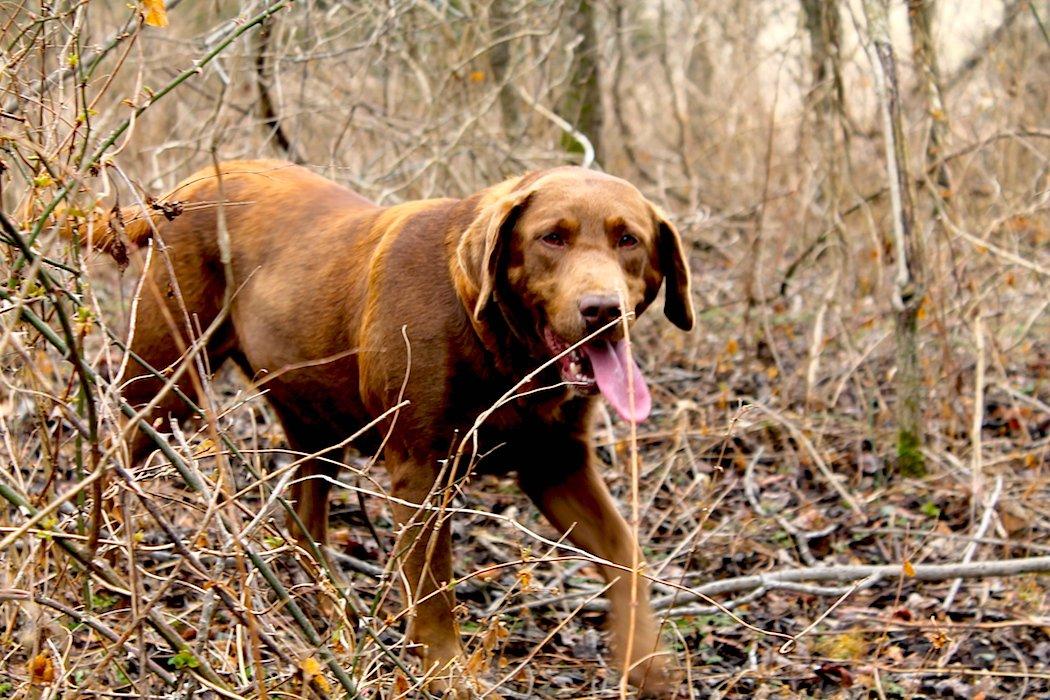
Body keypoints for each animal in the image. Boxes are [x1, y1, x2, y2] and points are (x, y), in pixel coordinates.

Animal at [77, 162, 692, 696]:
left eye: (629, 240)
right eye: (552, 238)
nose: (602, 310)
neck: (500, 346)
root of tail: (190, 185)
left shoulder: (559, 465)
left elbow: (626, 553)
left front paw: (646, 659)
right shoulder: (423, 472)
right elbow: (434, 589)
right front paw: (448, 676)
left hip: (315, 419)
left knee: (302, 527)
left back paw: (332, 615)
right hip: (164, 380)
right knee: (113, 453)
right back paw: (98, 559)